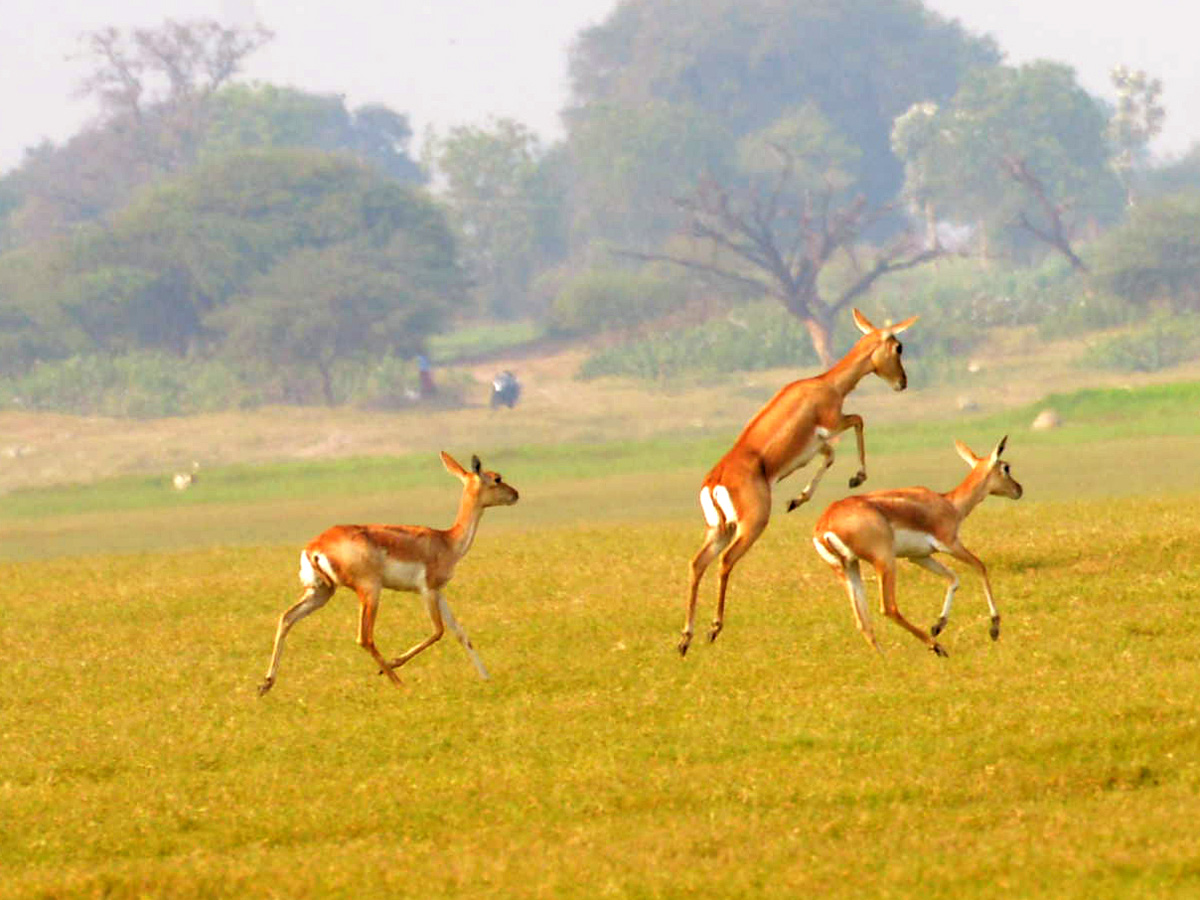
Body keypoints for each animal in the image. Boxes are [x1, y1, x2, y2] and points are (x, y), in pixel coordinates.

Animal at [255, 451, 518, 696]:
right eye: (497, 478)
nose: (516, 494)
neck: (447, 540)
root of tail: (315, 547)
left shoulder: (439, 593)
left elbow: (461, 633)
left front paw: (486, 677)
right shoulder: (427, 590)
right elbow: (438, 631)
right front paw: (391, 665)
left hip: (321, 593)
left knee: (287, 617)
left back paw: (266, 684)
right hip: (370, 592)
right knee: (365, 637)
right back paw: (399, 683)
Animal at [676, 309, 916, 657]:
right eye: (898, 347)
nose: (902, 382)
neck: (825, 384)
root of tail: (716, 479)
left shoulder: (818, 446)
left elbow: (829, 458)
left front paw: (797, 500)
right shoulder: (833, 424)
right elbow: (859, 420)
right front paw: (856, 477)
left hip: (720, 529)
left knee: (697, 564)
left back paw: (685, 639)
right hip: (750, 527)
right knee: (725, 561)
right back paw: (713, 628)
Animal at [806, 436, 1022, 657]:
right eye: (1006, 467)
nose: (1019, 490)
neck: (949, 504)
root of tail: (825, 525)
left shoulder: (919, 557)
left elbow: (953, 578)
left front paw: (938, 625)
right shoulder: (950, 544)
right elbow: (980, 567)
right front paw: (994, 628)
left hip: (847, 568)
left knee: (862, 620)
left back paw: (886, 657)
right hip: (885, 562)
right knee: (888, 608)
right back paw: (937, 647)